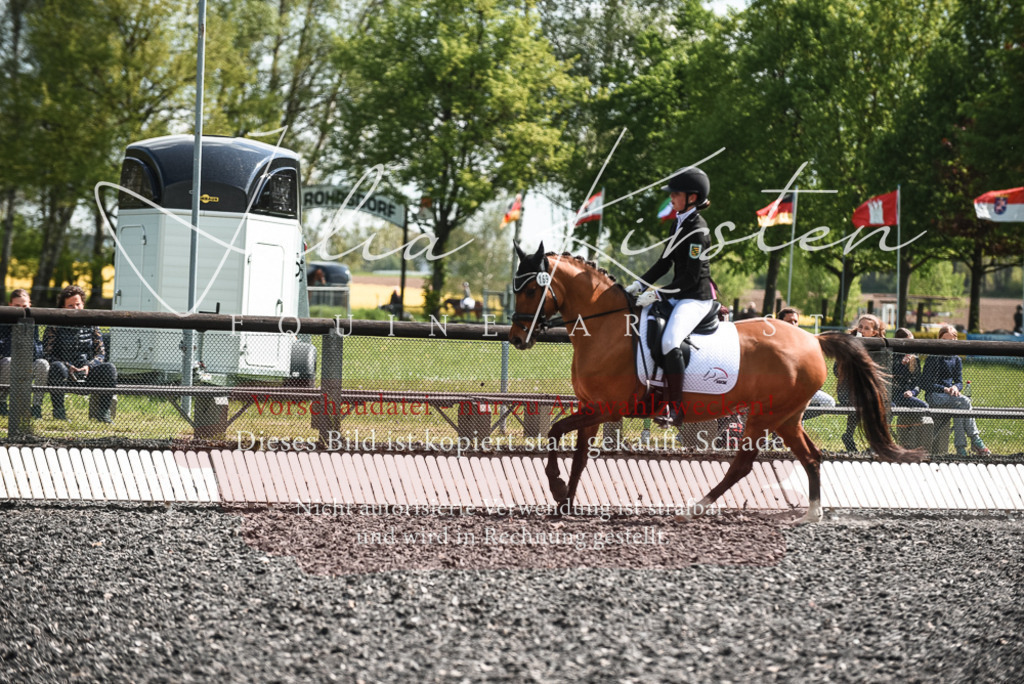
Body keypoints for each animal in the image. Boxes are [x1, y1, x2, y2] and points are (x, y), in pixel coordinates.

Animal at [508, 242, 922, 524]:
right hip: (787, 418)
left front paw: (557, 488)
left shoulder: (606, 408)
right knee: (810, 457)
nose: (516, 338)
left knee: (743, 464)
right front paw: (564, 501)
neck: (606, 327)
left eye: (531, 289)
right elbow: (576, 455)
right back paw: (810, 515)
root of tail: (812, 339)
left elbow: (554, 433)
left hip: (765, 416)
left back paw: (695, 508)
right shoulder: (589, 407)